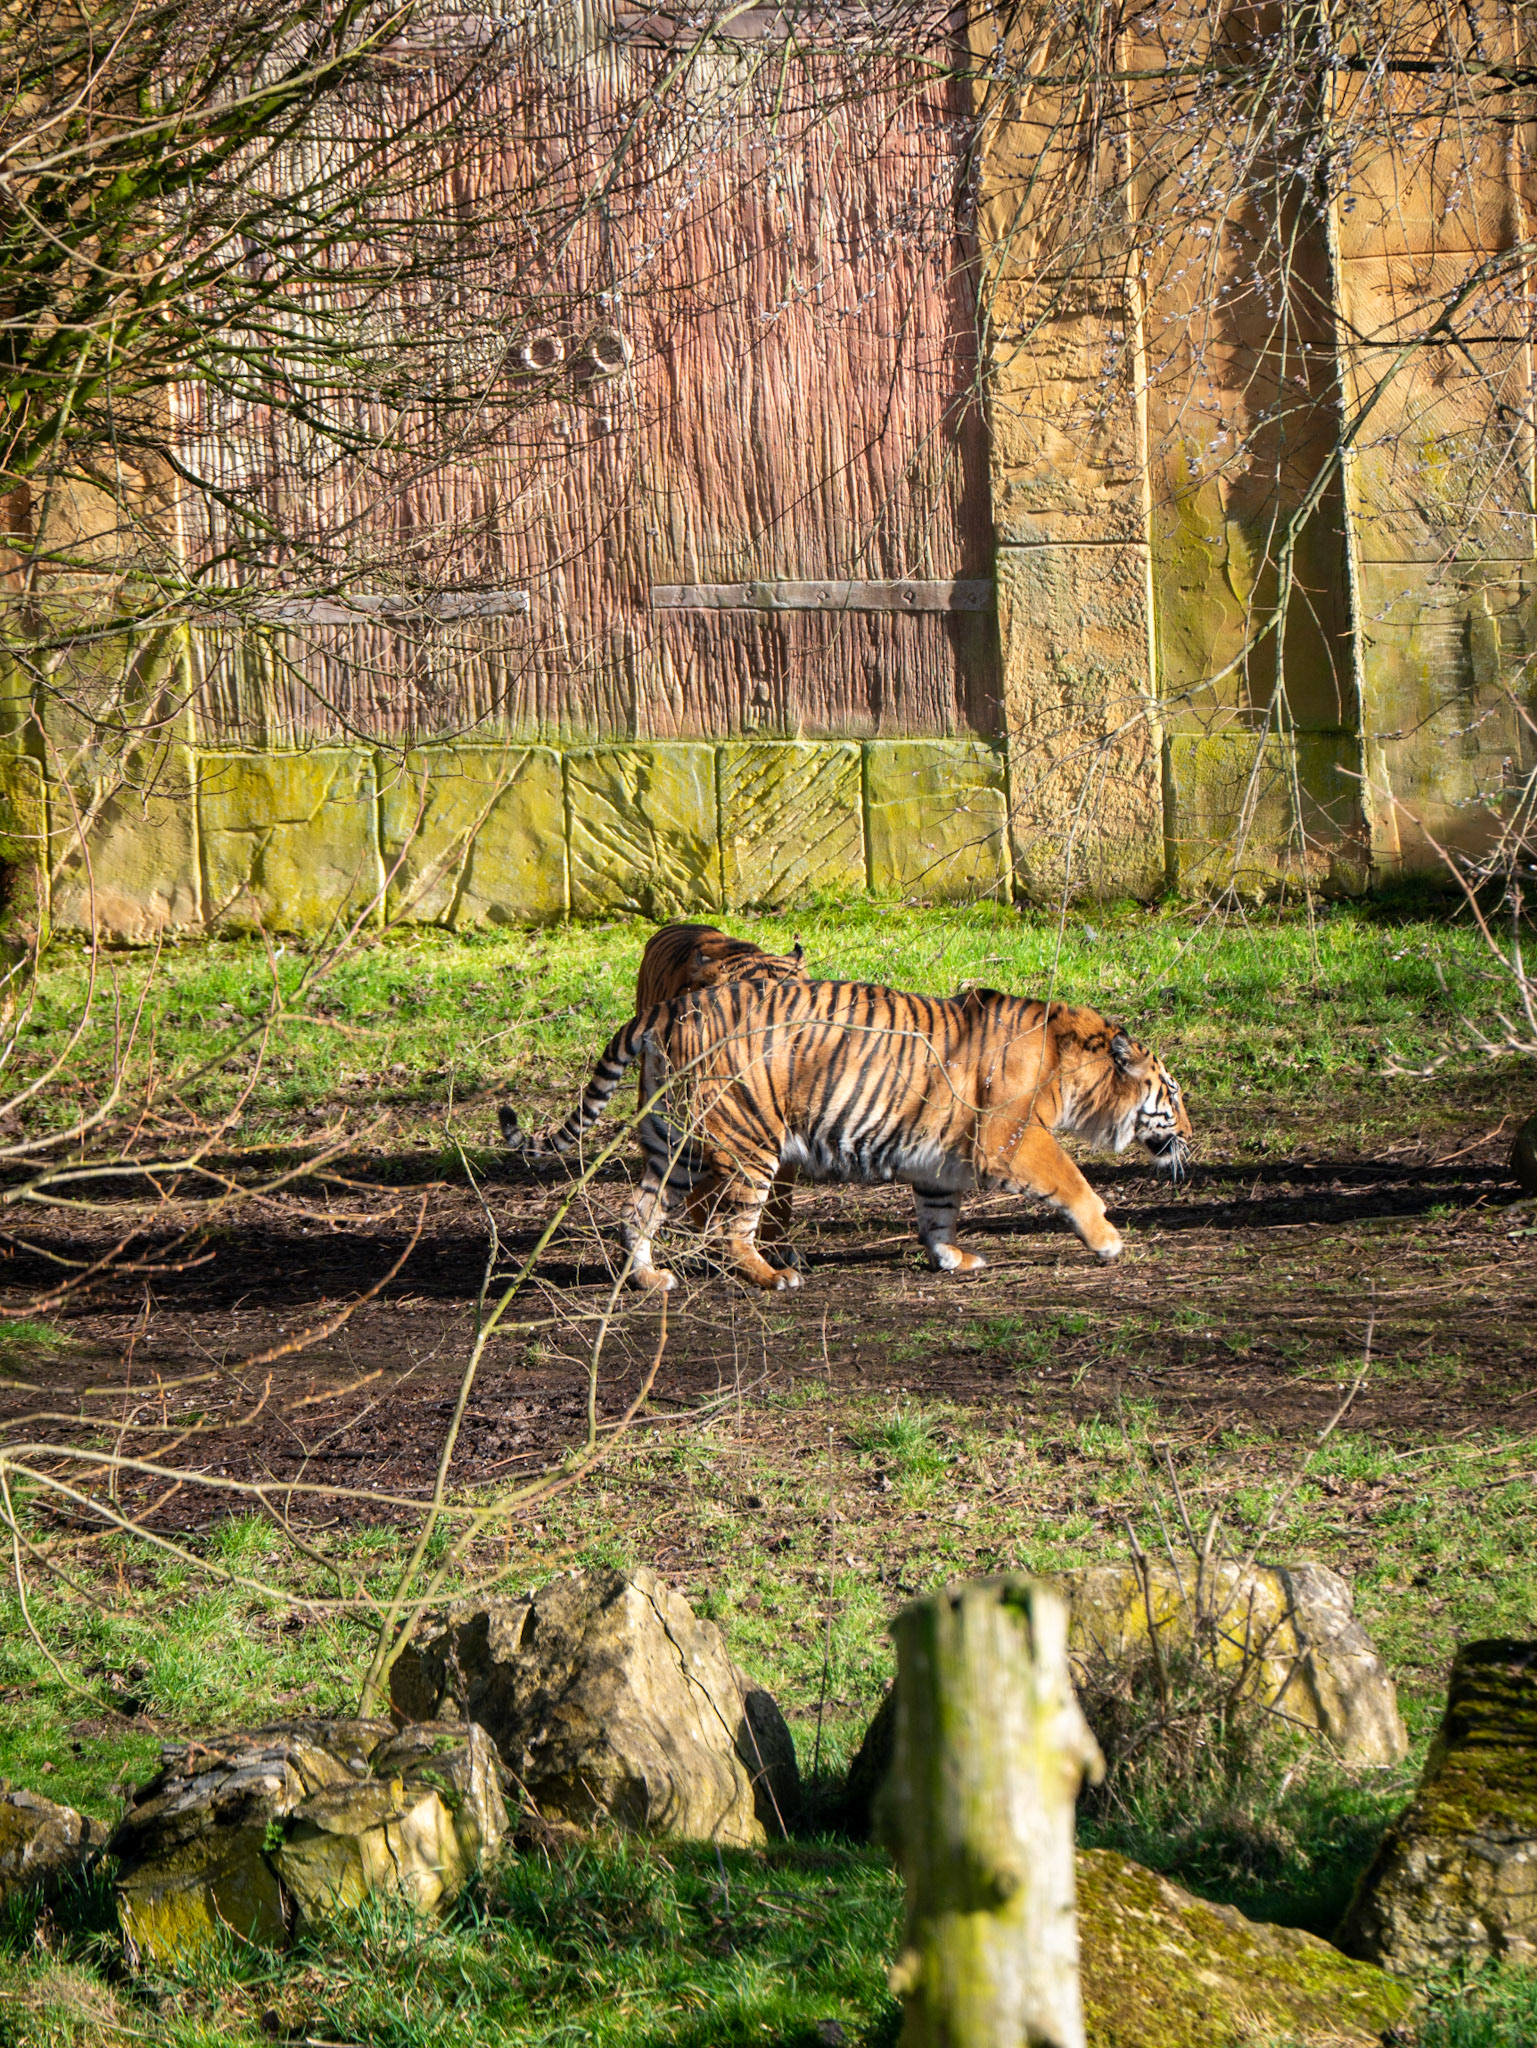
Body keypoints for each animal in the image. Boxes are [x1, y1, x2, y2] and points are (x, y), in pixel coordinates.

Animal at [501, 978, 1191, 1293]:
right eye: (1174, 1094)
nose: (1189, 1133)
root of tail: (670, 1006)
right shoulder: (1015, 1141)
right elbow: (1076, 1184)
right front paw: (1109, 1241)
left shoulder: (938, 1161)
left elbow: (938, 1215)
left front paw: (951, 1258)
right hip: (750, 1142)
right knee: (729, 1226)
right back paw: (772, 1276)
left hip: (677, 1141)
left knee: (637, 1211)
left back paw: (649, 1279)